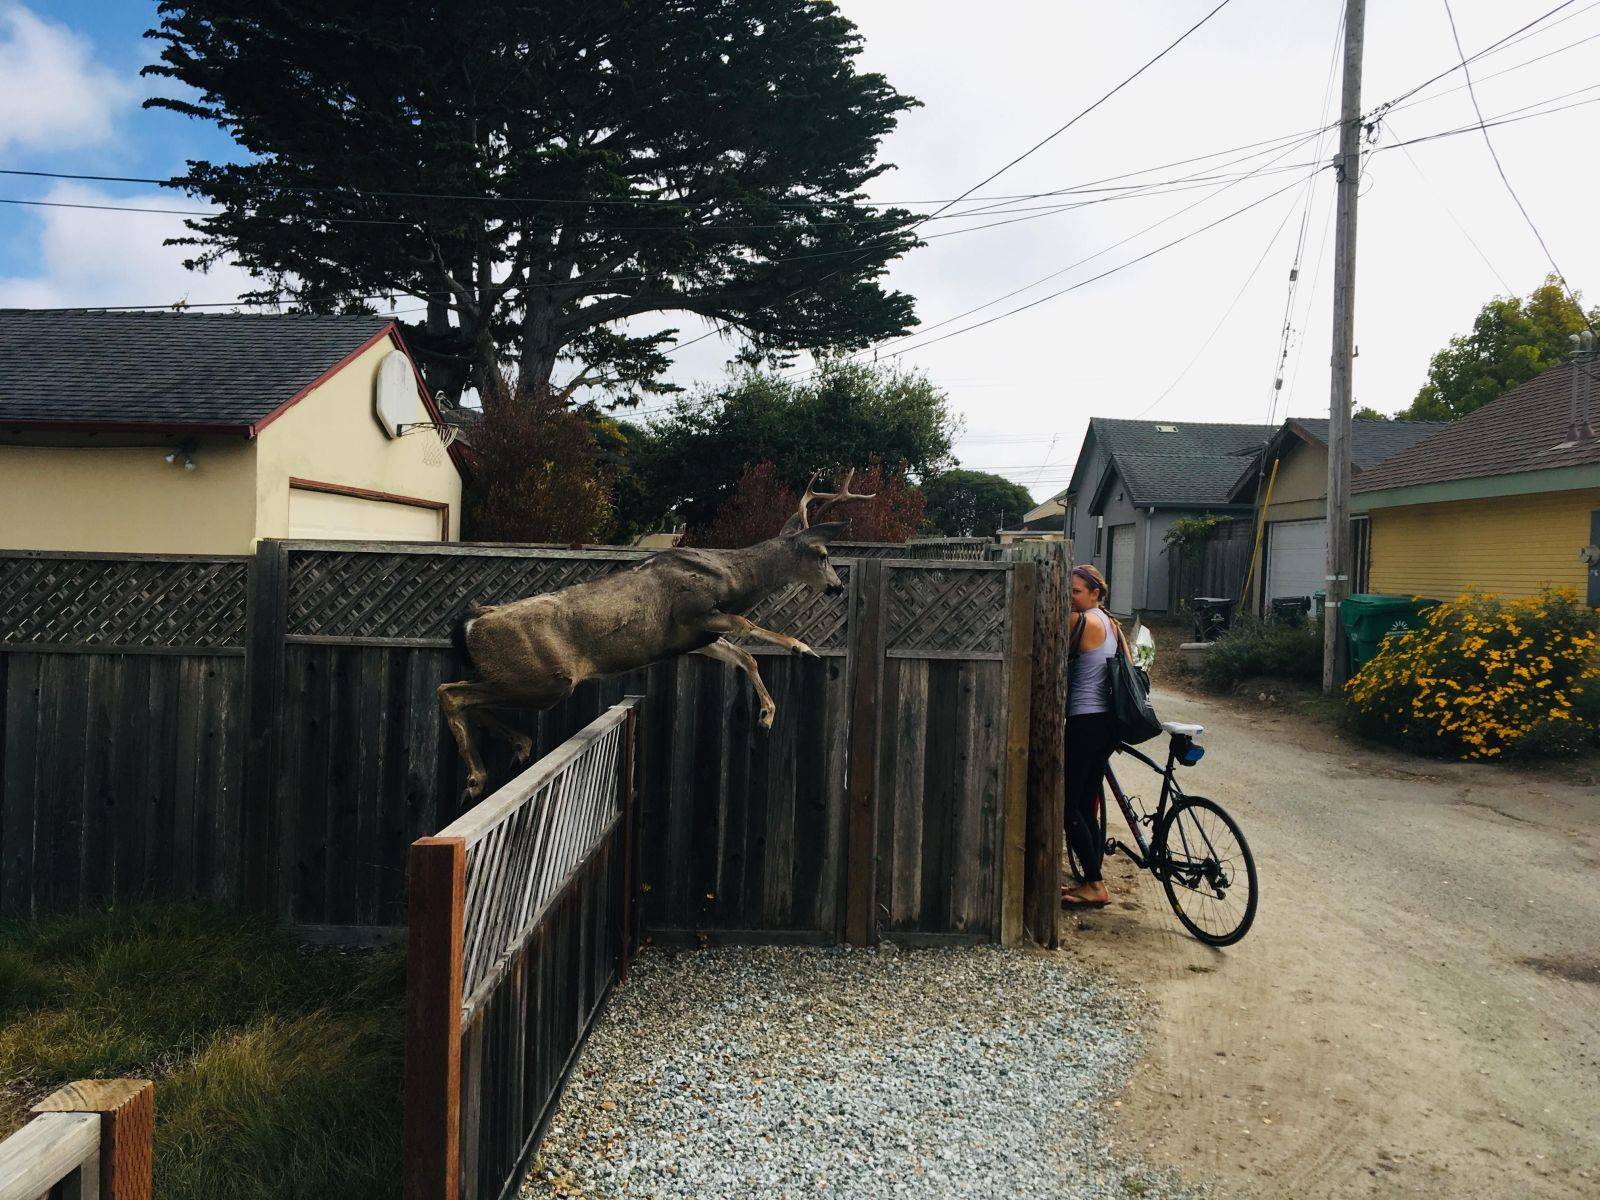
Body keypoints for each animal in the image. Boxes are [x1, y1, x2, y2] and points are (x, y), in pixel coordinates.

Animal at [438, 470, 876, 800]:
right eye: (823, 555)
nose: (837, 587)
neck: (734, 578)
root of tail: (471, 623)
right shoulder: (693, 611)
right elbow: (747, 626)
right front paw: (804, 648)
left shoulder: (695, 636)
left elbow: (743, 656)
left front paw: (767, 717)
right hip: (546, 679)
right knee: (450, 691)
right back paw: (477, 777)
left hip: (521, 678)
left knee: (467, 694)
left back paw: (516, 748)